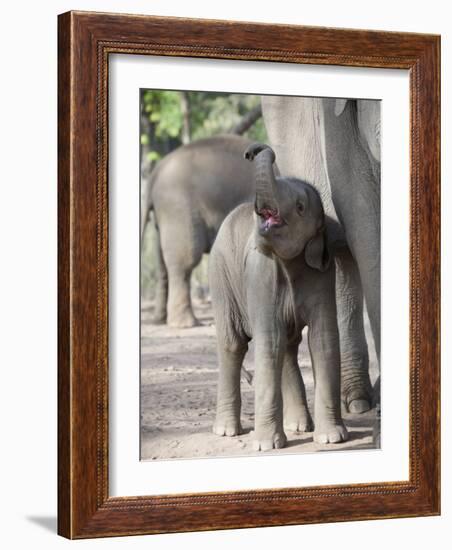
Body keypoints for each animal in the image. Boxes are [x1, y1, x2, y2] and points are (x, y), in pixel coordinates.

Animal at [141, 136, 256, 330]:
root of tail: (154, 175)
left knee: (162, 262)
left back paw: (160, 320)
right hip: (178, 209)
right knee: (185, 262)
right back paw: (185, 324)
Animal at [210, 143, 348, 452]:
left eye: (300, 207)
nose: (253, 150)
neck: (290, 263)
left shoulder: (323, 274)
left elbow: (323, 339)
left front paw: (332, 438)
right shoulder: (260, 275)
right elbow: (268, 339)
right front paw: (265, 446)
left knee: (287, 345)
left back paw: (299, 426)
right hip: (221, 277)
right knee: (233, 344)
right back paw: (226, 432)